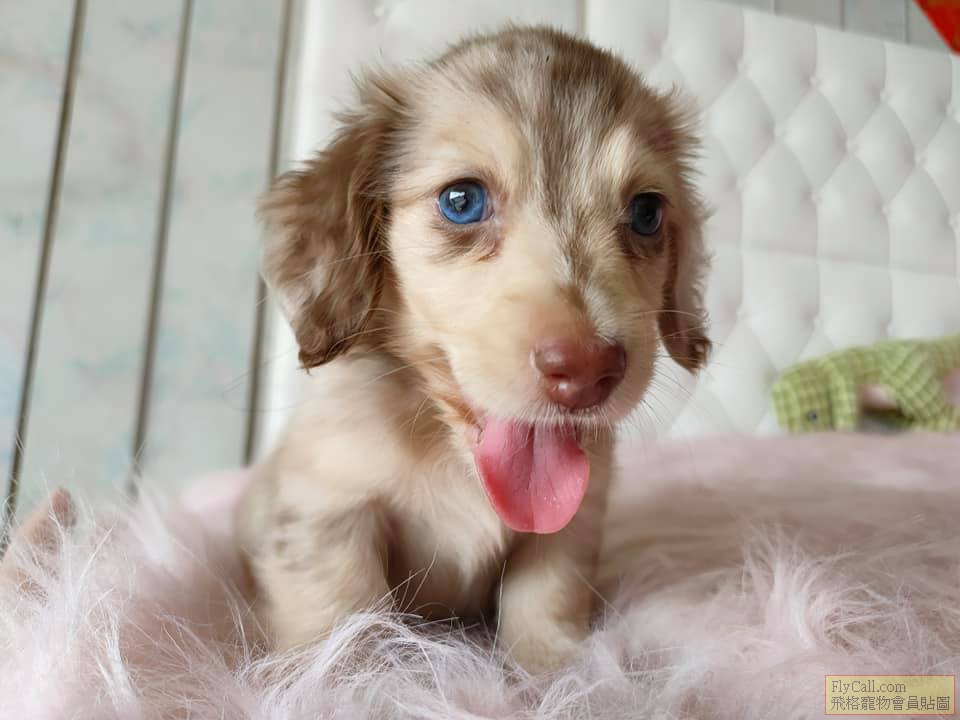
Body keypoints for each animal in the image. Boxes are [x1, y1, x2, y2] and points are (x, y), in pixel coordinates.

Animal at [236, 26, 711, 673]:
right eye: (461, 200)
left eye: (646, 212)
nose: (588, 371)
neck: (451, 454)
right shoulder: (328, 512)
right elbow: (343, 619)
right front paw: (343, 677)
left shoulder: (571, 526)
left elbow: (546, 597)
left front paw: (558, 674)